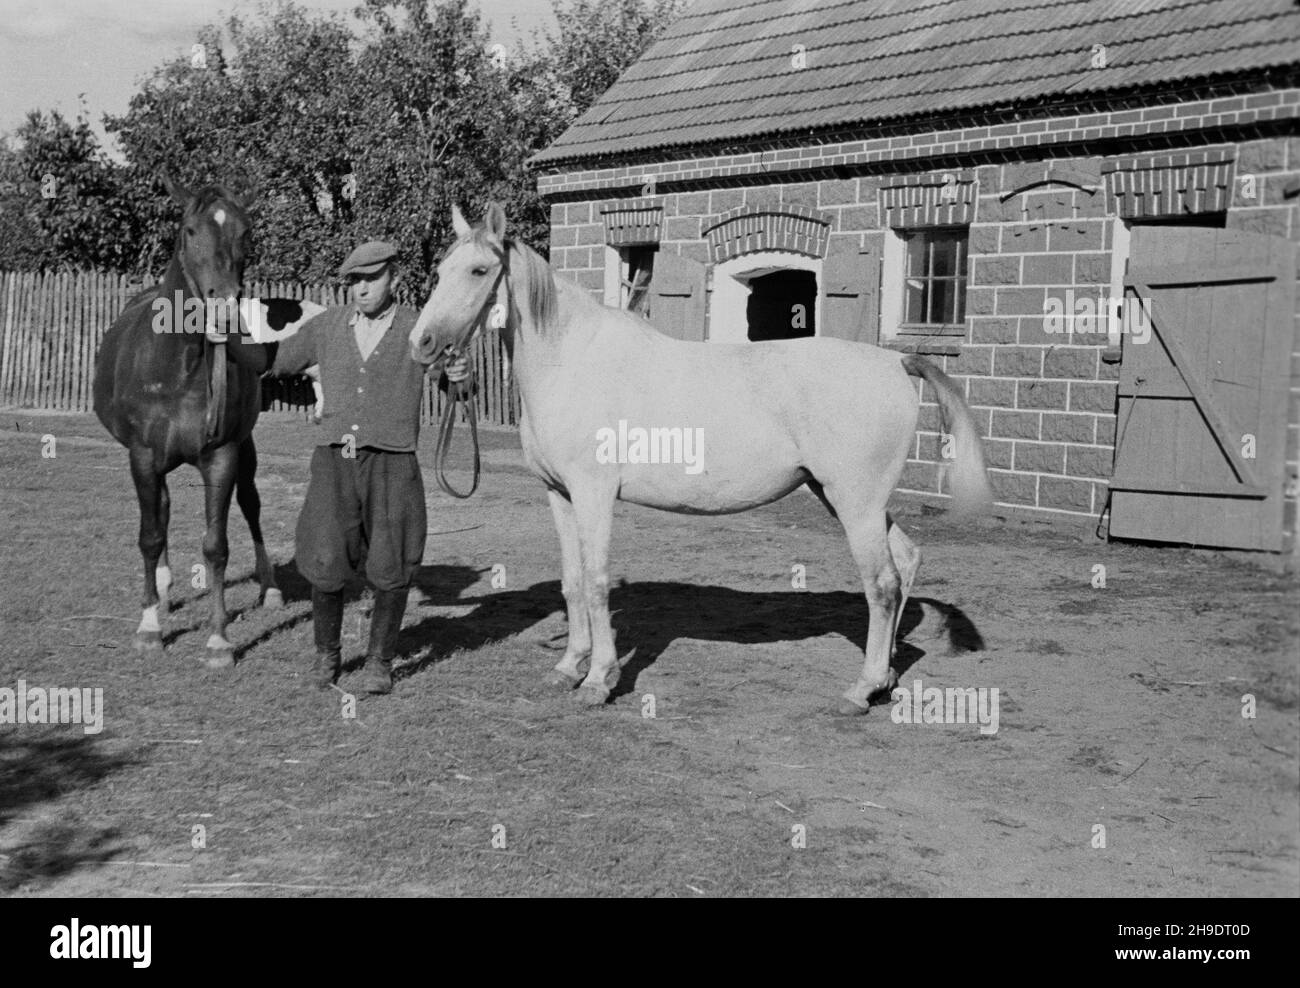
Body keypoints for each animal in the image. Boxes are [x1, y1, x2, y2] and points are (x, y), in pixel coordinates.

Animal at [94, 178, 282, 670]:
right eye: (191, 230)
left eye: (245, 231)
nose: (224, 305)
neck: (178, 366)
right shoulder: (142, 456)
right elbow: (150, 535)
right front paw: (148, 627)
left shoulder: (223, 455)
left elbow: (216, 545)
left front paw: (218, 640)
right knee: (160, 510)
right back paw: (160, 591)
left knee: (251, 505)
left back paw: (270, 587)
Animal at [410, 204, 987, 712]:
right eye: (440, 270)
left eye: (479, 270)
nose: (423, 343)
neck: (573, 361)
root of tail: (895, 362)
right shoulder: (560, 495)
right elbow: (572, 583)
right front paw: (568, 668)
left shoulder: (595, 495)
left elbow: (596, 583)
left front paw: (598, 680)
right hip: (847, 498)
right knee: (905, 563)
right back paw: (885, 678)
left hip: (856, 503)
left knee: (883, 584)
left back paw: (861, 690)